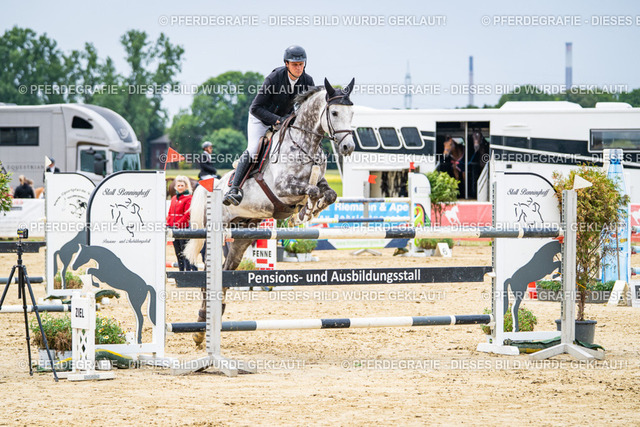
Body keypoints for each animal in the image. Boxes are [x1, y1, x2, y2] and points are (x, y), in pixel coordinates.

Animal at [184, 78, 356, 346]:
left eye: (352, 112)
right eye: (335, 112)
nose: (348, 147)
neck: (305, 144)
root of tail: (210, 186)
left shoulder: (321, 183)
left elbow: (328, 194)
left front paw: (308, 212)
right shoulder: (284, 188)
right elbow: (310, 191)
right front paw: (305, 212)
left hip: (242, 237)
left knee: (226, 271)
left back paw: (208, 322)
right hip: (217, 232)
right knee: (208, 274)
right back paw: (202, 327)